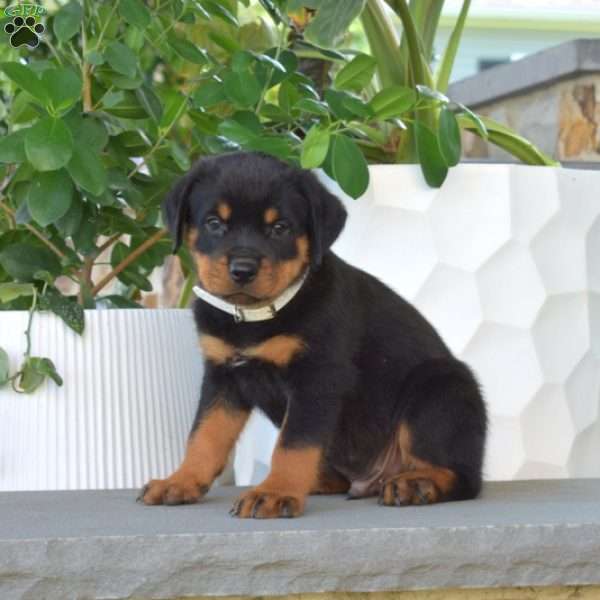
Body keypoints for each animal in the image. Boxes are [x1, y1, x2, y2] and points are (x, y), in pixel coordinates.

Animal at [138, 150, 486, 516]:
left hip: (438, 387)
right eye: (214, 223)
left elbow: (294, 444)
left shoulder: (317, 376)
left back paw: (417, 483)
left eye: (280, 228)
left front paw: (275, 492)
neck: (255, 317)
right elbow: (204, 434)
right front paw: (181, 481)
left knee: (464, 477)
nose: (243, 270)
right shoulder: (222, 375)